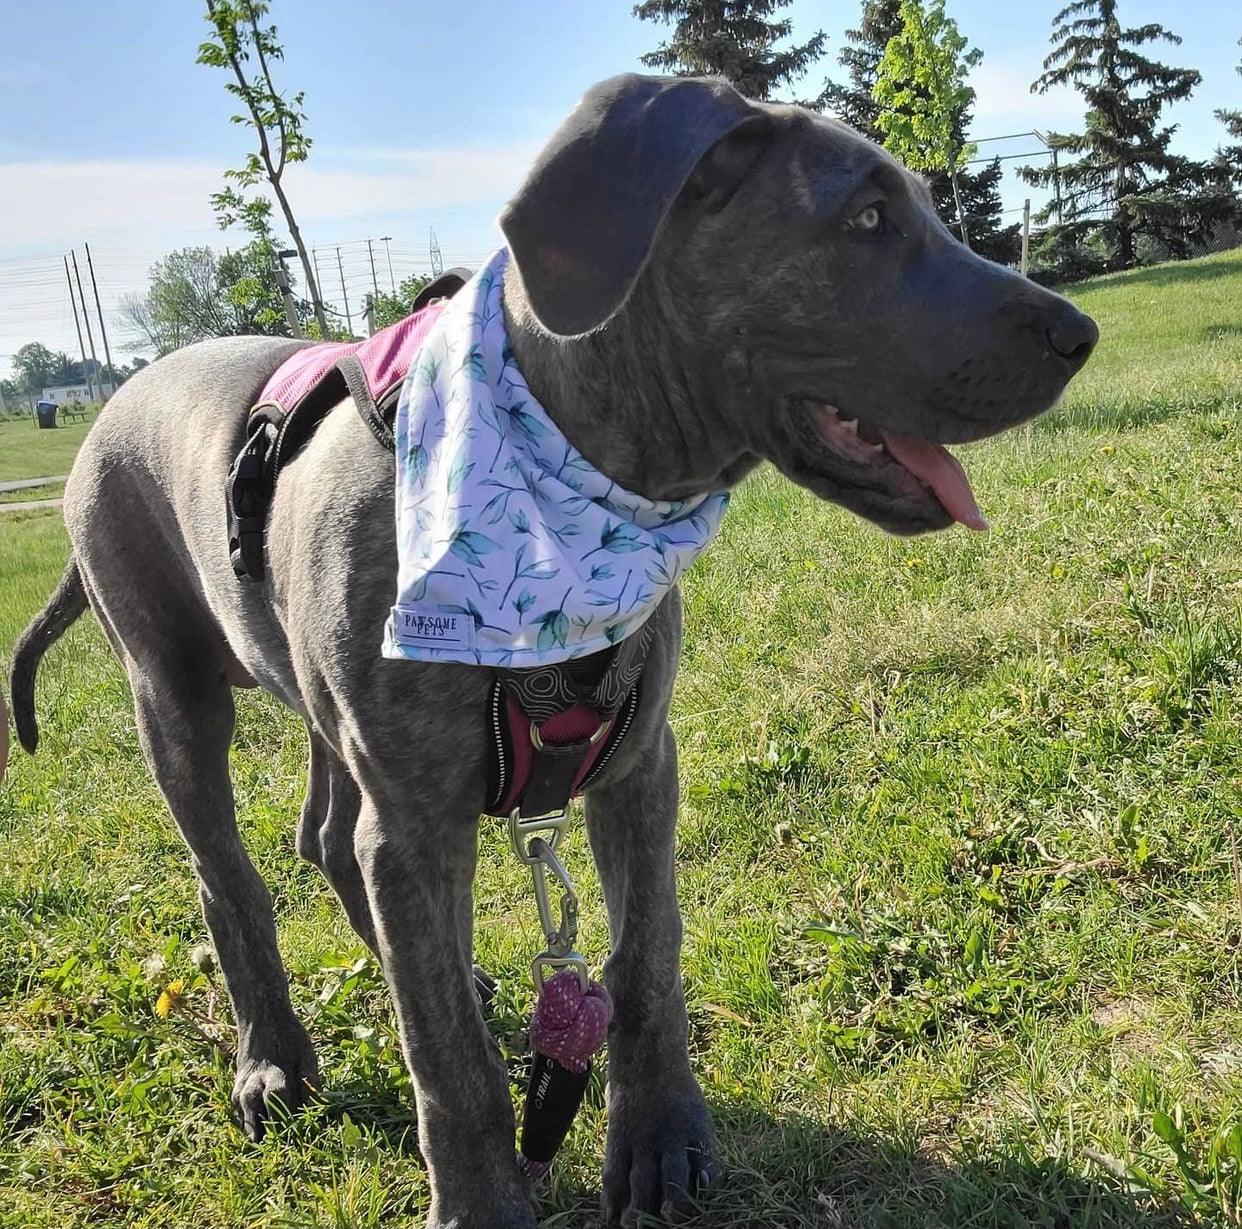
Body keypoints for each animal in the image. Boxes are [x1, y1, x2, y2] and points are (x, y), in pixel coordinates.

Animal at [9, 72, 1097, 1226]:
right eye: (869, 219)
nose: (1080, 332)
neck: (564, 490)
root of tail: (117, 402)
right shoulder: (418, 820)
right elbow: (445, 1050)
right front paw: (484, 1197)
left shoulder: (638, 761)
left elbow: (643, 956)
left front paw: (659, 1140)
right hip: (171, 690)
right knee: (232, 878)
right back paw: (273, 1060)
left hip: (322, 710)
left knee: (326, 836)